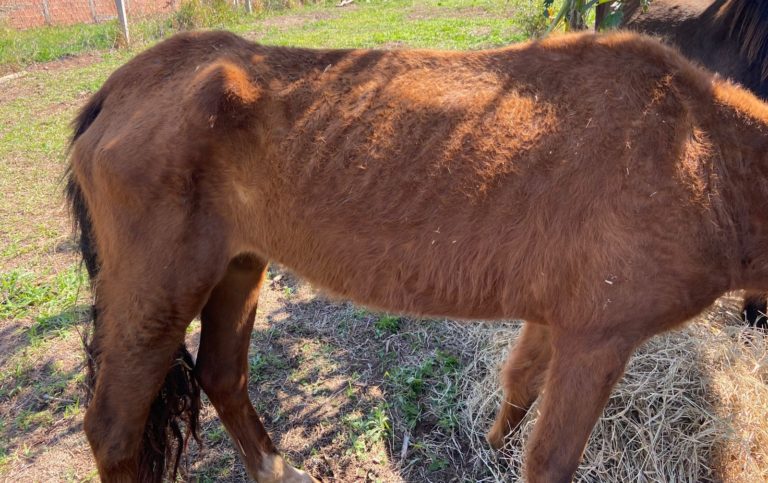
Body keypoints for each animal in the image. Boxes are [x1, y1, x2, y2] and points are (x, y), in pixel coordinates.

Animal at [69, 31, 768, 483]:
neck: (703, 156)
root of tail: (121, 89)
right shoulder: (599, 341)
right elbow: (551, 461)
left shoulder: (558, 323)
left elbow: (519, 388)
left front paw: (490, 445)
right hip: (158, 295)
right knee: (113, 430)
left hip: (237, 270)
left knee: (222, 376)